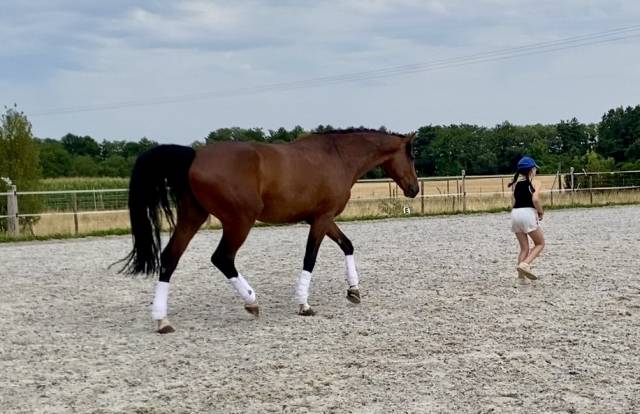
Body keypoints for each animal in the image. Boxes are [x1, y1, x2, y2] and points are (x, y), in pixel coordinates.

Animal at [121, 128, 419, 333]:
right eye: (411, 155)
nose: (415, 189)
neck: (338, 158)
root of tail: (194, 155)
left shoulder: (321, 219)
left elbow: (347, 245)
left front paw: (354, 290)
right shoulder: (321, 220)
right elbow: (310, 258)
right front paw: (304, 304)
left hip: (193, 217)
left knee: (170, 258)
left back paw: (162, 320)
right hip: (239, 221)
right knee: (222, 258)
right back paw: (251, 301)